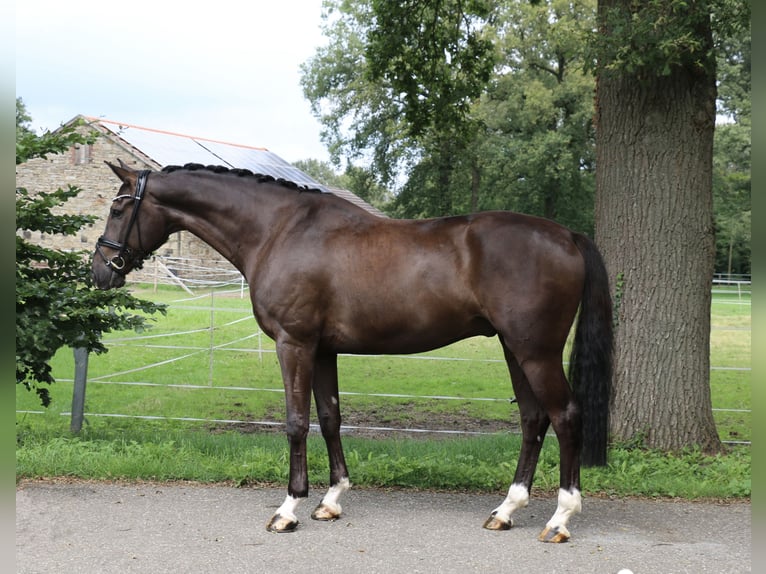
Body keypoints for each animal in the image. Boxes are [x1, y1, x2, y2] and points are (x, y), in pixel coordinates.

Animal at [91, 162, 612, 544]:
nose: (100, 270)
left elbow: (296, 423)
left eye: (118, 207)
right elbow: (330, 418)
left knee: (565, 416)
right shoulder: (323, 352)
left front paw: (289, 508)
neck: (278, 230)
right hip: (513, 348)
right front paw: (331, 500)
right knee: (532, 419)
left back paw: (560, 519)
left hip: (535, 351)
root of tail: (568, 235)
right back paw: (506, 510)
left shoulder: (294, 344)